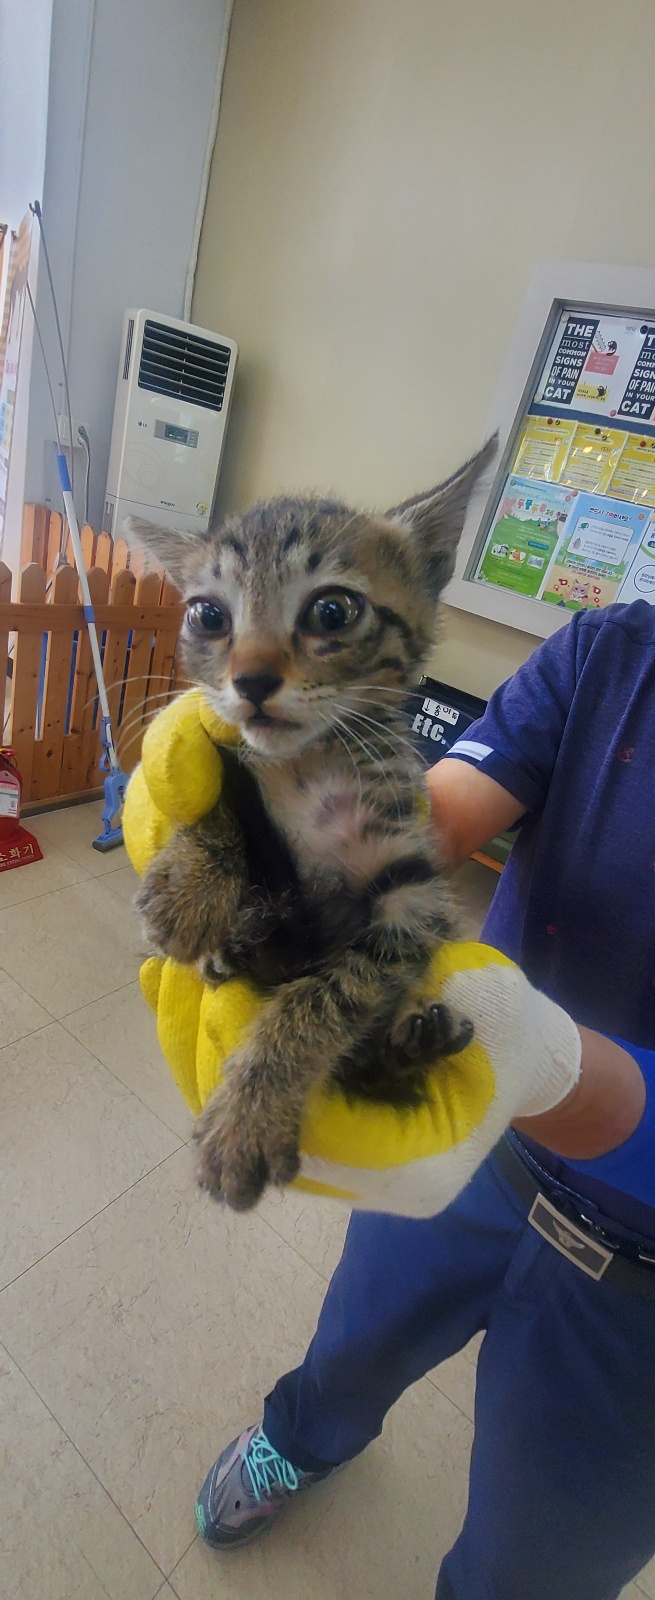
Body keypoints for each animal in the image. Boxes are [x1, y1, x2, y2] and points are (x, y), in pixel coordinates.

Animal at [126, 438, 496, 1209]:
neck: (310, 763)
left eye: (332, 611)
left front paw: (249, 1114)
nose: (252, 680)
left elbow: (326, 1000)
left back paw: (411, 1045)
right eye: (208, 616)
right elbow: (218, 785)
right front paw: (189, 885)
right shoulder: (230, 759)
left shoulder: (410, 896)